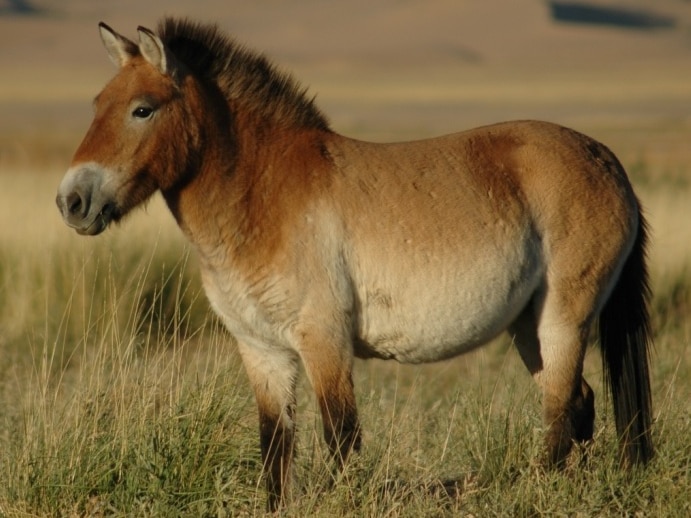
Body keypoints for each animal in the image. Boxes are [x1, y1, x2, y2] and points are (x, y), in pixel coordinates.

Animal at [58, 19, 656, 512]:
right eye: (95, 104)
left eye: (142, 108)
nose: (72, 201)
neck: (263, 196)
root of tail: (606, 160)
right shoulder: (261, 350)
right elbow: (275, 447)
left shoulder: (324, 340)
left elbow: (340, 439)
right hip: (528, 326)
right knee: (578, 403)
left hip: (563, 319)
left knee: (560, 414)